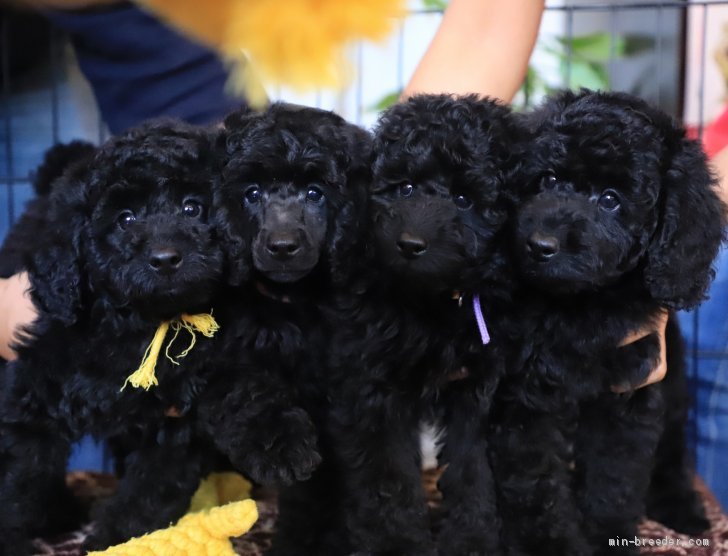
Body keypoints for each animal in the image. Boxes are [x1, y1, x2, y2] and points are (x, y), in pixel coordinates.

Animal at [0, 119, 318, 552]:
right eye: (125, 219)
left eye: (192, 208)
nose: (166, 258)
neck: (142, 325)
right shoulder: (37, 385)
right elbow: (20, 471)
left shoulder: (185, 408)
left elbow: (151, 492)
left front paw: (113, 541)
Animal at [312, 95, 516, 556]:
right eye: (404, 188)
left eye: (464, 199)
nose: (410, 245)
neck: (432, 302)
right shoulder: (370, 388)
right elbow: (387, 476)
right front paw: (396, 543)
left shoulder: (475, 387)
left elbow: (471, 466)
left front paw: (473, 538)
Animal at [492, 89, 724, 552]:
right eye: (548, 181)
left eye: (611, 200)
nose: (540, 245)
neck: (582, 304)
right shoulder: (528, 396)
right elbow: (536, 481)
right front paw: (552, 543)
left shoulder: (628, 396)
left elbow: (613, 478)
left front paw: (606, 535)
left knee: (673, 452)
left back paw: (685, 510)